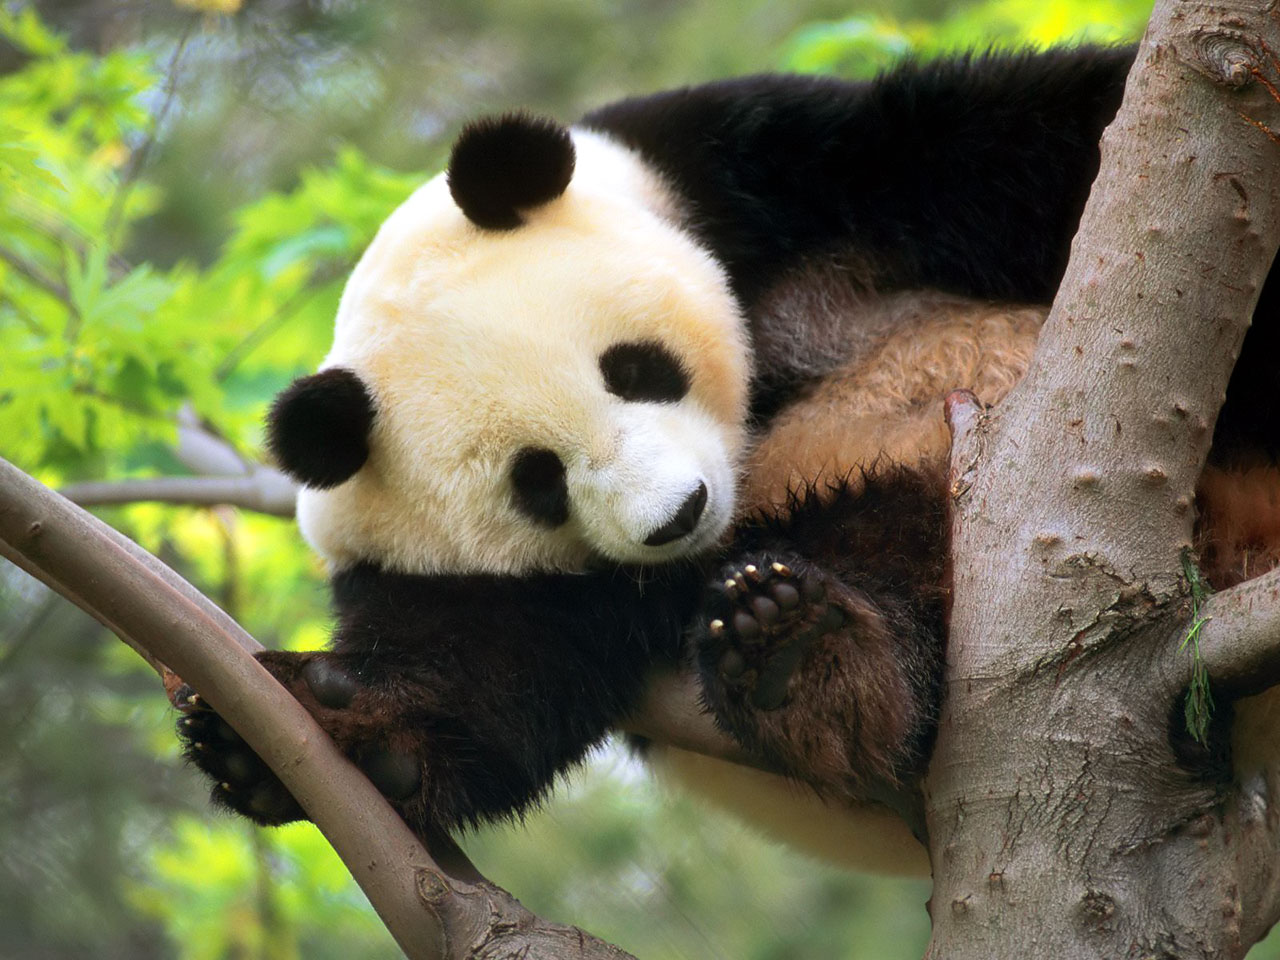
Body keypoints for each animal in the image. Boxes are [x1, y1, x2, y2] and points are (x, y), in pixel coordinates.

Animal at [177, 45, 1280, 875]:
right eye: (537, 483)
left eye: (634, 369)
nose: (678, 514)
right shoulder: (461, 571)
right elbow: (486, 662)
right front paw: (320, 726)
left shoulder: (765, 167)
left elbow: (1029, 139)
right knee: (890, 543)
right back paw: (804, 655)